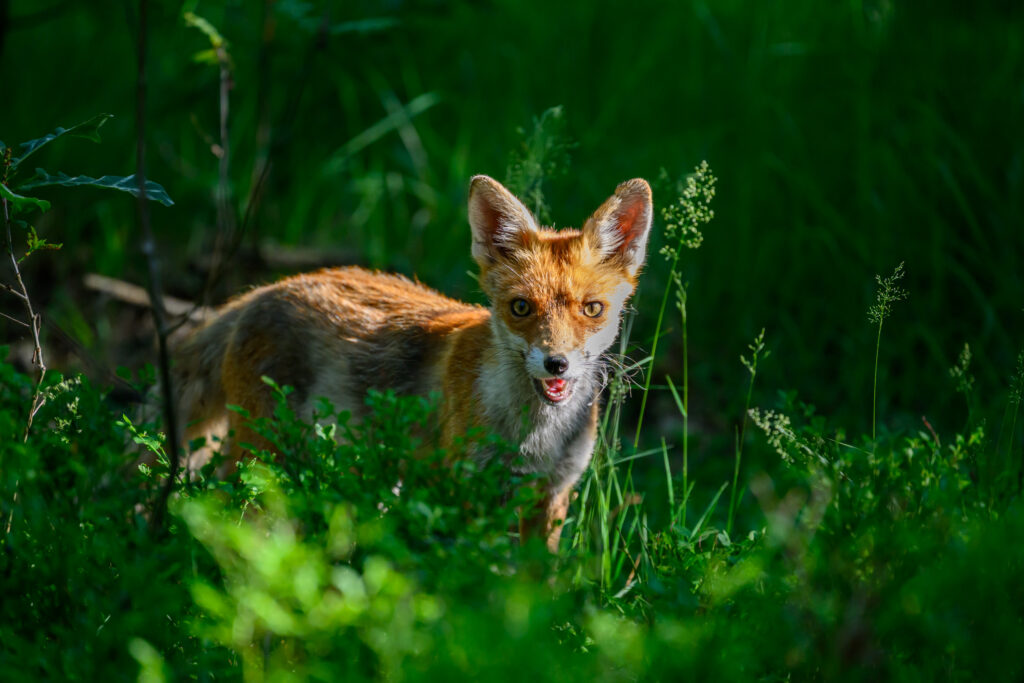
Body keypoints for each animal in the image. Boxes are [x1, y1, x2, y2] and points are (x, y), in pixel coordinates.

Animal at [174, 175, 653, 550]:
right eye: (520, 308)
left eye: (592, 309)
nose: (557, 364)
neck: (533, 438)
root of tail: (263, 291)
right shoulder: (462, 489)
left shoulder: (550, 495)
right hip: (262, 455)